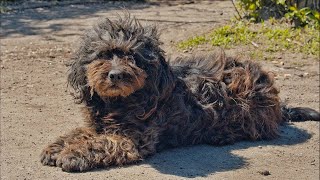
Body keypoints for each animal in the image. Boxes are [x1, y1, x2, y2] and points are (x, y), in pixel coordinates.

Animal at [39, 14, 318, 172]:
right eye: (103, 55)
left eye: (133, 57)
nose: (116, 75)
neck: (118, 103)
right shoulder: (97, 125)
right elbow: (81, 133)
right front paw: (58, 146)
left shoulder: (133, 140)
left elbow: (102, 143)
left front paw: (72, 154)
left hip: (247, 102)